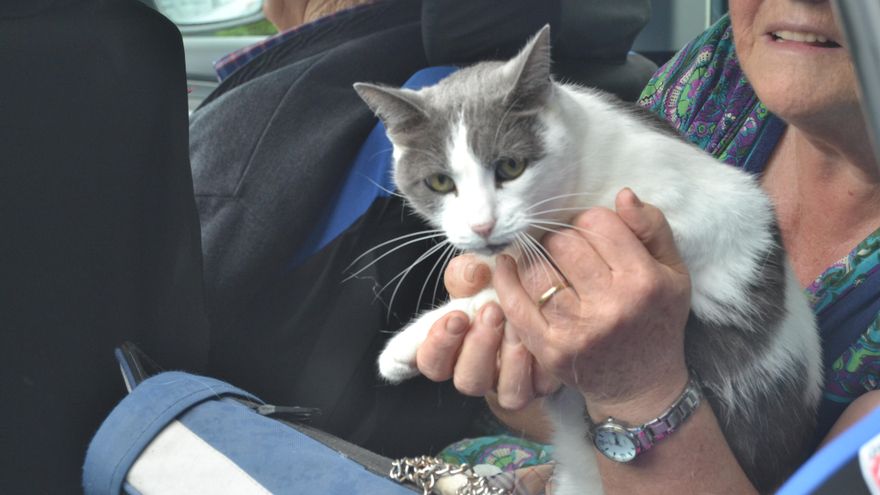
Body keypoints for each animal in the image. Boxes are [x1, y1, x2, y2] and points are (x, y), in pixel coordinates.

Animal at [354, 26, 821, 494]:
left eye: (511, 166)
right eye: (438, 182)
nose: (482, 225)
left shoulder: (707, 216)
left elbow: (513, 287)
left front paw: (408, 344)